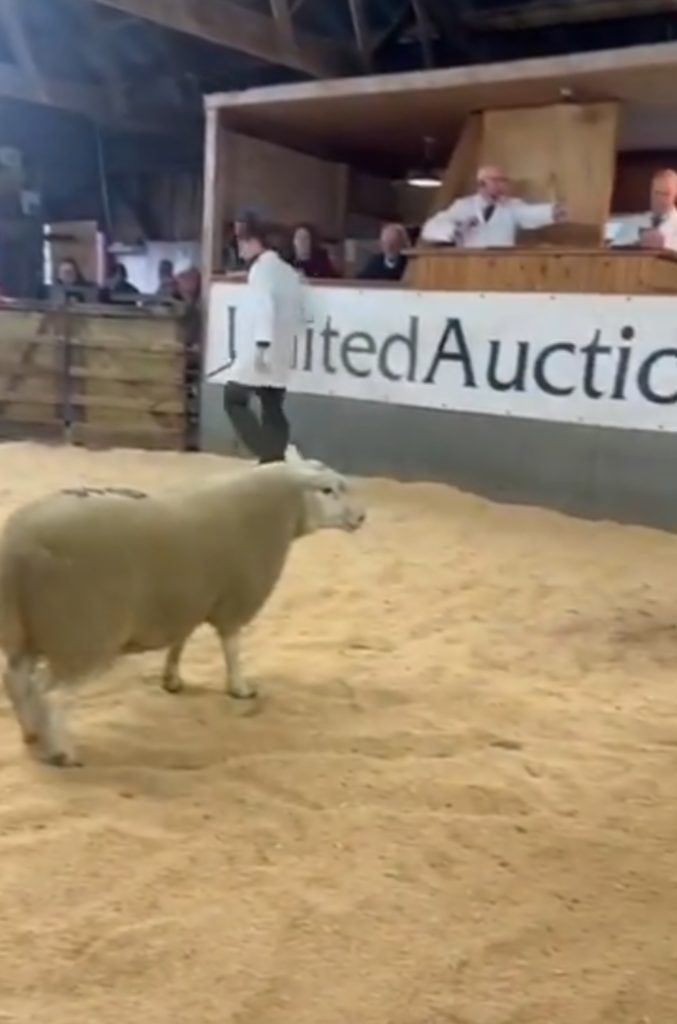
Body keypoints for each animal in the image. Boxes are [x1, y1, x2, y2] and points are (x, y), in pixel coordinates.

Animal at [0, 452, 364, 765]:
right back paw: (62, 753)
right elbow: (232, 647)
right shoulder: (233, 599)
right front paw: (240, 688)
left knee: (17, 681)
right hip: (81, 633)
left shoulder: (187, 599)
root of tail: (17, 546)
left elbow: (180, 640)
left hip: (25, 628)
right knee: (50, 694)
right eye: (327, 490)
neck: (278, 511)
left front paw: (172, 679)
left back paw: (32, 734)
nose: (361, 516)